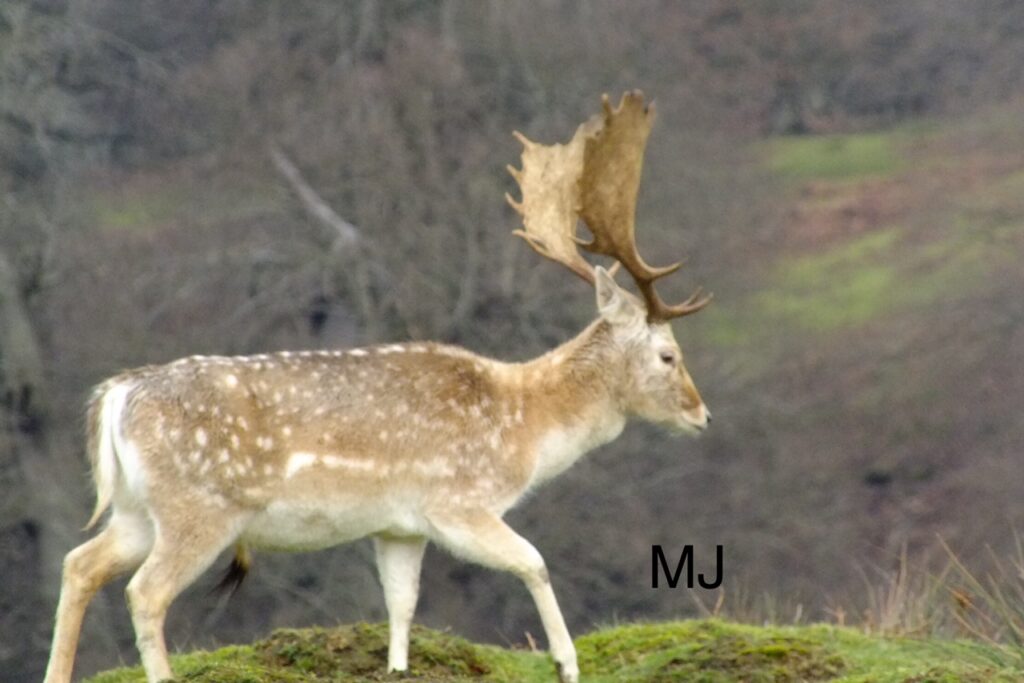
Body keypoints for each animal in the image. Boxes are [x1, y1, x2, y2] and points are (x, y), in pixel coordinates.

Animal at [44, 90, 711, 683]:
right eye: (668, 355)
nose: (702, 415)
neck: (524, 424)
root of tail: (116, 397)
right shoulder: (457, 503)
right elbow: (536, 563)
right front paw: (566, 663)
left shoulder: (400, 526)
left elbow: (401, 603)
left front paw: (396, 666)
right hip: (198, 509)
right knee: (145, 592)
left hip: (137, 509)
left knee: (79, 563)